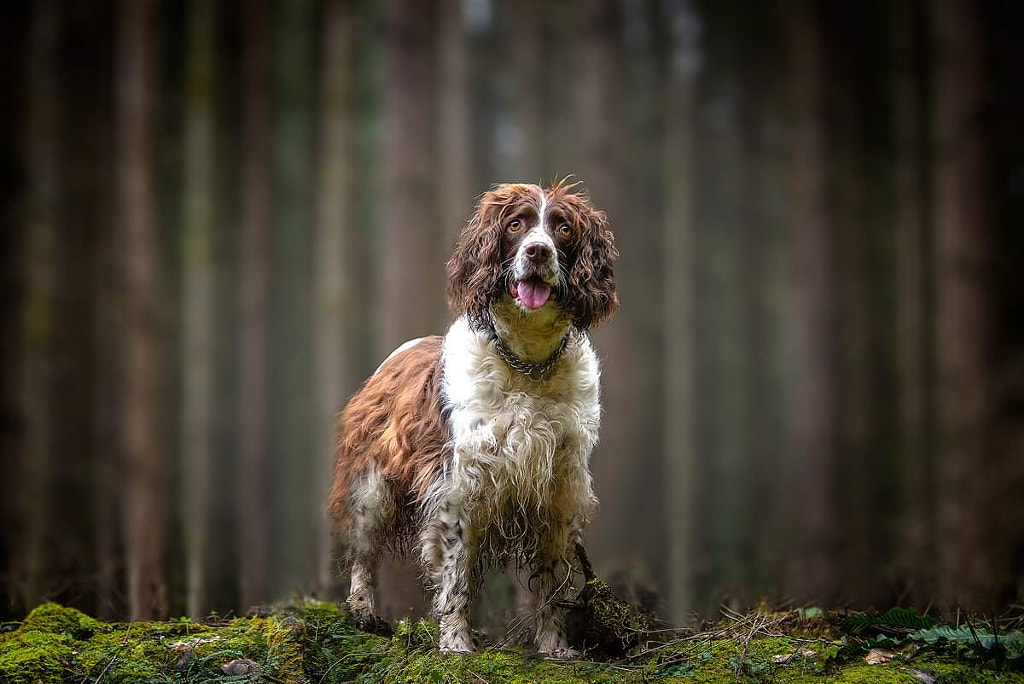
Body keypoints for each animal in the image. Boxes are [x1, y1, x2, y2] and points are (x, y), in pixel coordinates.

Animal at [327, 179, 614, 655]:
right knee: (363, 553)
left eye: (563, 228)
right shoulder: (458, 484)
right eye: (516, 224)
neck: (527, 364)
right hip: (371, 487)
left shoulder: (559, 489)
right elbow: (455, 576)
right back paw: (363, 611)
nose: (538, 251)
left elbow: (552, 583)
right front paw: (456, 644)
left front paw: (555, 647)